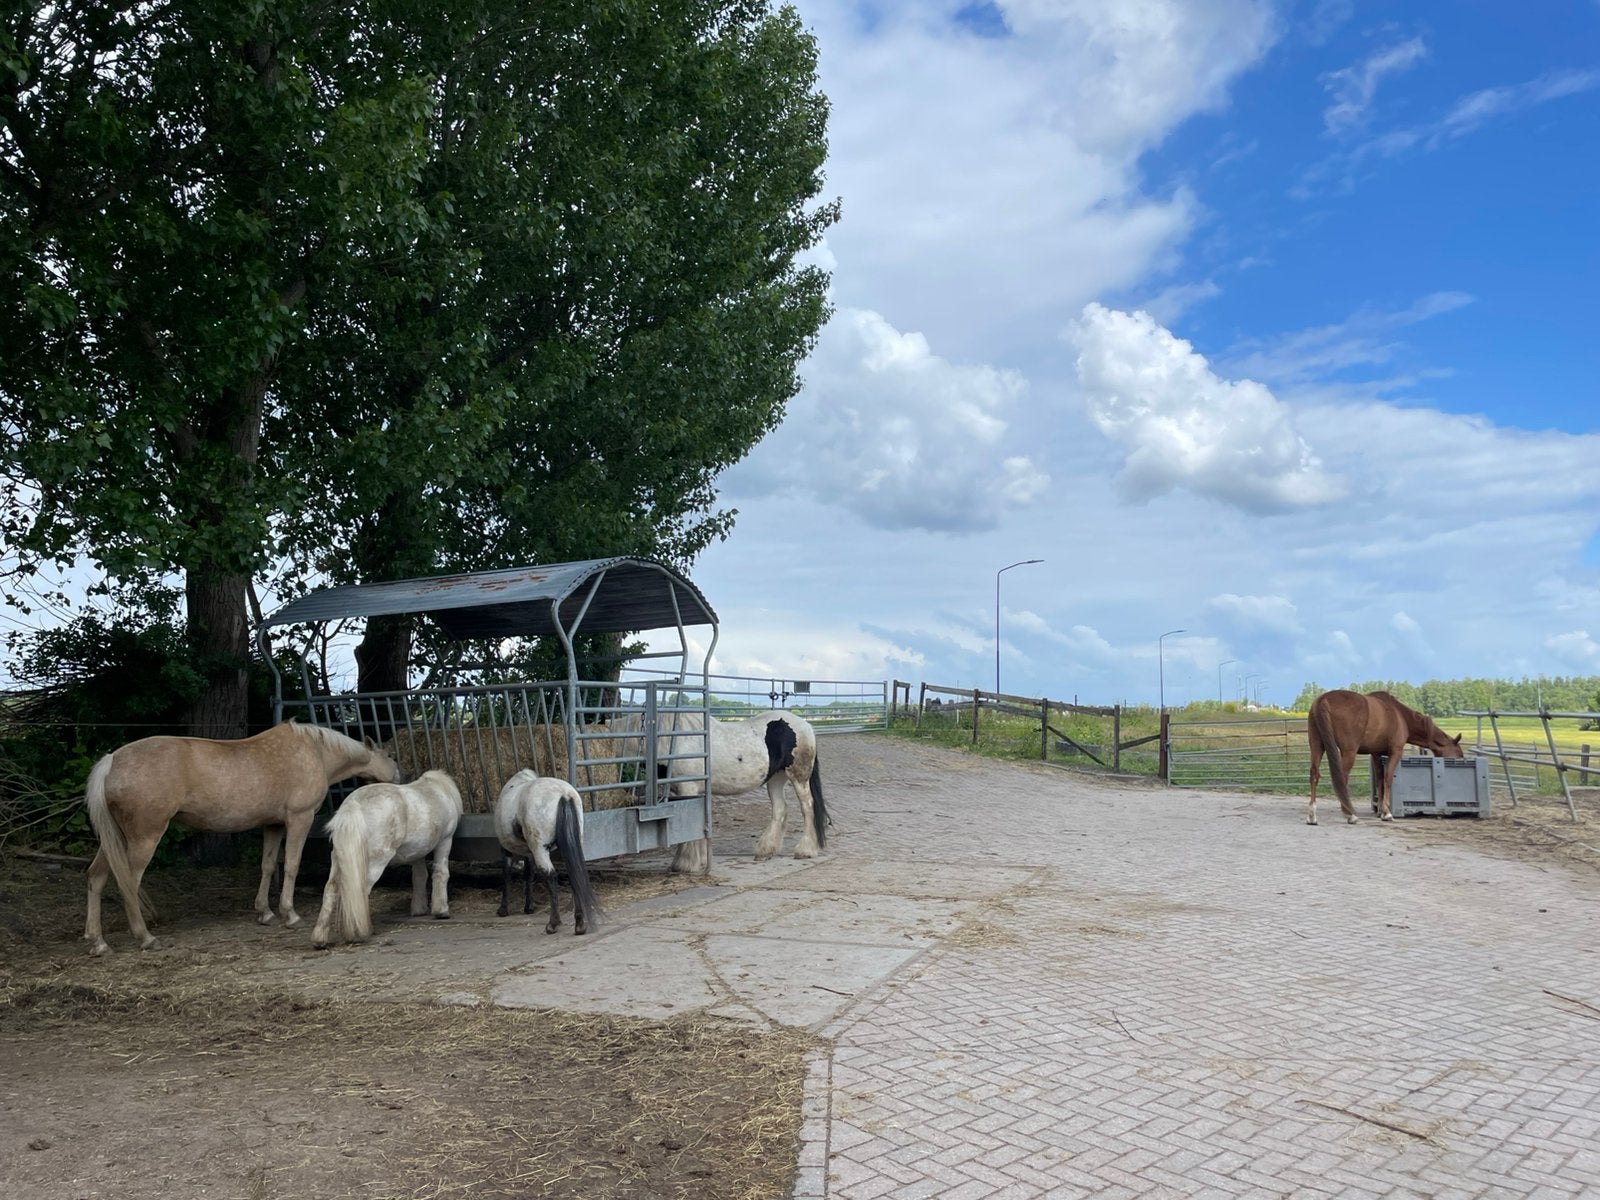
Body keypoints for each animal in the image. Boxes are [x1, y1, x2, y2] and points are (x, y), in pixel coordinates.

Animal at [82, 721, 404, 956]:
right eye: (389, 755)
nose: (399, 775)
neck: (316, 752)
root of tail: (112, 761)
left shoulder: (273, 825)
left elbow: (268, 866)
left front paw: (265, 912)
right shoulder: (299, 819)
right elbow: (292, 865)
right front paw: (290, 914)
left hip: (115, 841)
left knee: (96, 877)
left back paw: (98, 942)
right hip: (144, 838)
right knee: (128, 883)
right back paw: (145, 937)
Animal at [309, 770, 463, 948]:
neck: (436, 790)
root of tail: (354, 804)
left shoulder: (418, 851)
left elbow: (419, 877)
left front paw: (418, 909)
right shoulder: (445, 840)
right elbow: (440, 873)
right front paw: (441, 910)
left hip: (338, 859)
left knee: (331, 889)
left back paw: (320, 938)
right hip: (376, 861)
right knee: (361, 891)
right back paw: (361, 932)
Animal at [493, 769, 599, 935]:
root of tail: (564, 795)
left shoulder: (507, 849)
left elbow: (507, 874)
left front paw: (503, 909)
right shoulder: (529, 853)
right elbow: (528, 874)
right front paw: (529, 906)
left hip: (540, 848)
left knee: (550, 876)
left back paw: (553, 924)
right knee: (574, 874)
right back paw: (580, 924)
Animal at [615, 707, 827, 872]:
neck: (671, 740)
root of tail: (806, 725)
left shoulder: (687, 789)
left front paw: (685, 863)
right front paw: (699, 860)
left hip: (798, 777)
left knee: (807, 807)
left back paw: (805, 850)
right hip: (776, 779)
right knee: (780, 810)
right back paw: (765, 851)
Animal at [1306, 689, 1464, 826]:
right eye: (1458, 754)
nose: (1461, 762)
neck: (1399, 715)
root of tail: (1323, 699)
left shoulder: (1376, 754)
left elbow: (1380, 780)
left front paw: (1381, 811)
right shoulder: (1395, 752)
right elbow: (1388, 779)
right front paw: (1387, 813)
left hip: (1317, 746)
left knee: (1314, 774)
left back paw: (1312, 816)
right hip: (1348, 751)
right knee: (1341, 777)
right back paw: (1350, 814)